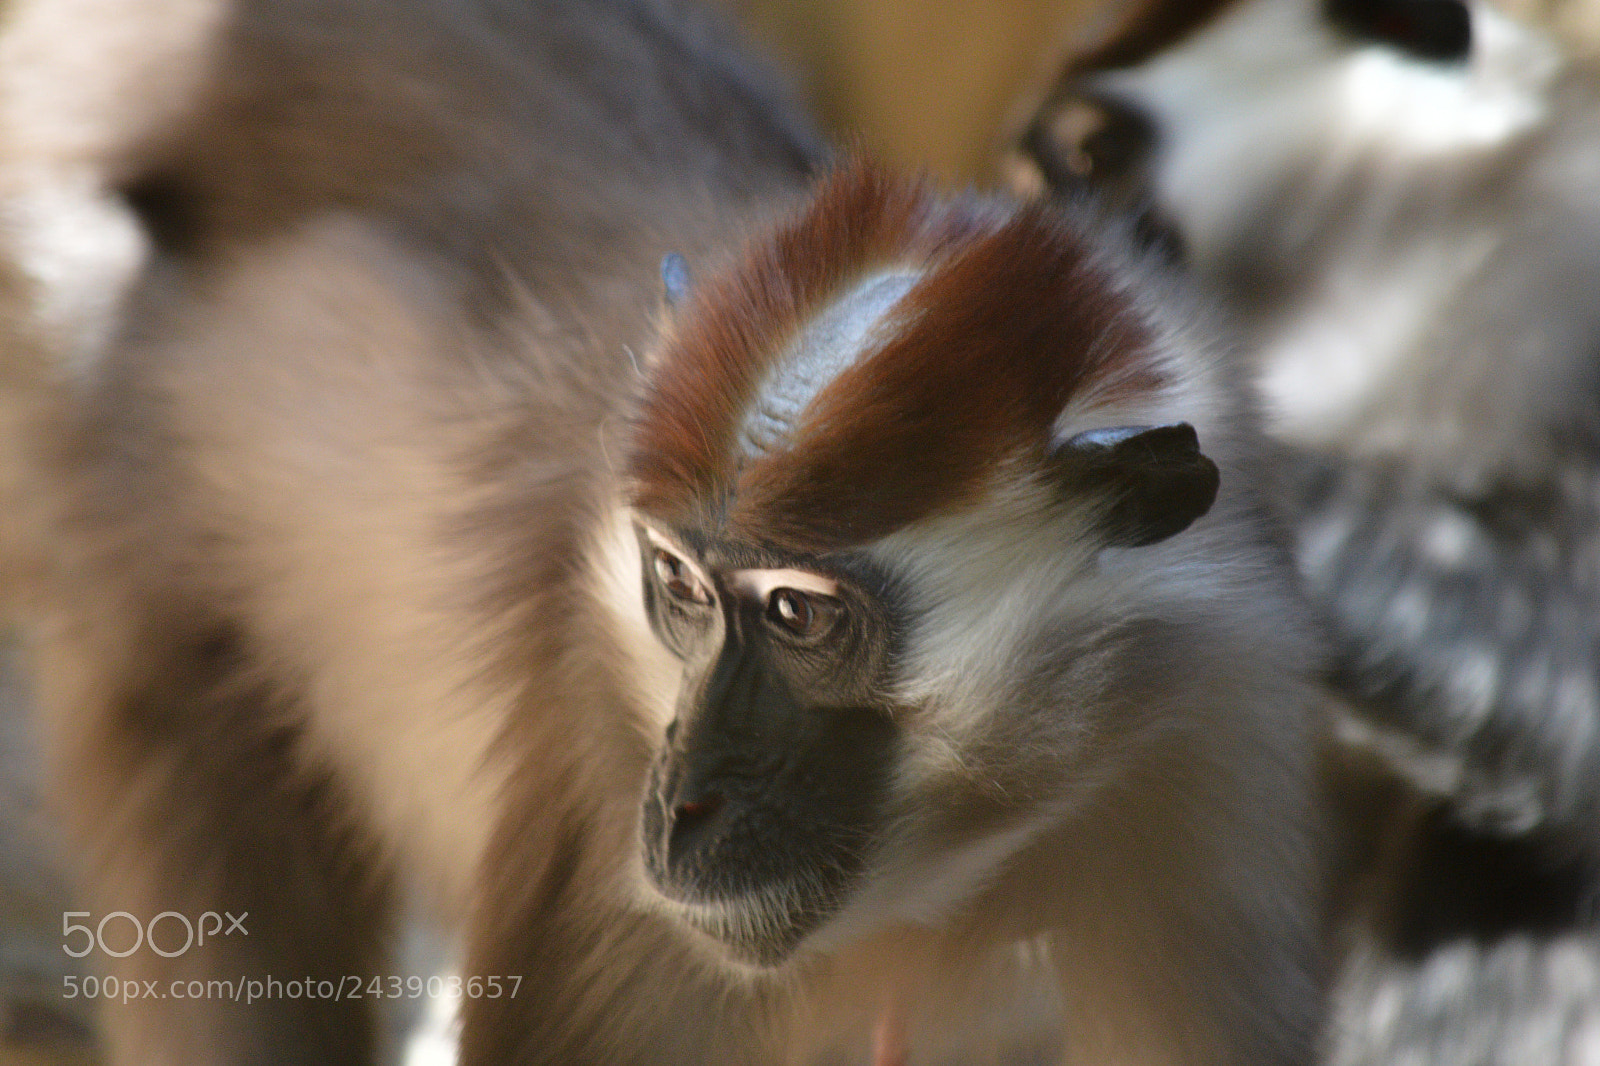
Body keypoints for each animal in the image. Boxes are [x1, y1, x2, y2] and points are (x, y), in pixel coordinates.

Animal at [1, 0, 1330, 1062]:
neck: (959, 862)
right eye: (679, 588)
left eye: (797, 613)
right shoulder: (599, 756)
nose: (683, 802)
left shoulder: (1208, 752)